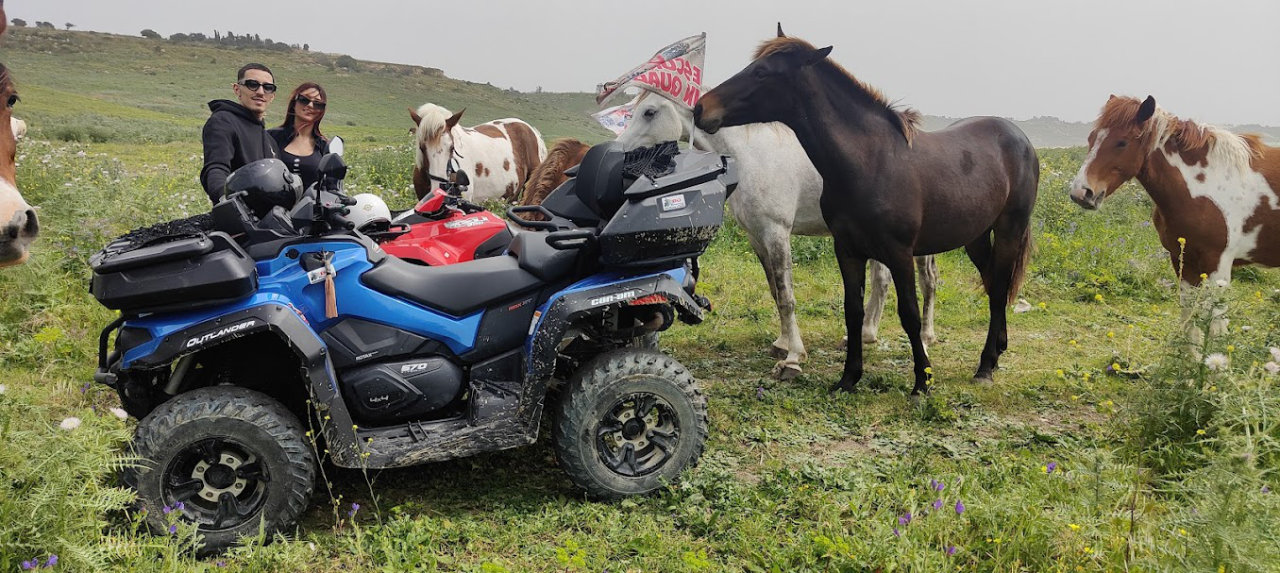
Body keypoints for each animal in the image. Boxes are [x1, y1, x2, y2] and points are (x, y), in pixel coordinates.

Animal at [616, 92, 939, 380]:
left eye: (649, 112)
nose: (618, 152)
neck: (751, 157)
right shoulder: (757, 237)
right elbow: (774, 290)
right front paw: (783, 344)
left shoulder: (777, 232)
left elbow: (787, 296)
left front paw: (793, 359)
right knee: (884, 281)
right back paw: (868, 334)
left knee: (924, 281)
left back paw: (923, 336)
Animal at [694, 28, 1038, 395]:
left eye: (761, 72)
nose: (702, 108)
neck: (870, 160)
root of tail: (1019, 137)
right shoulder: (847, 250)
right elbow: (852, 311)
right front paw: (848, 378)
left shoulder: (899, 252)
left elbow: (908, 313)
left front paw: (922, 382)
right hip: (975, 236)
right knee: (992, 283)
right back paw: (997, 351)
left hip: (1009, 229)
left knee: (998, 286)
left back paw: (985, 365)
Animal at [1069, 95, 1280, 339]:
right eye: (1091, 138)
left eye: (1122, 142)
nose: (1081, 192)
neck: (1204, 186)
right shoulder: (1183, 261)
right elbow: (1190, 321)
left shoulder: (1218, 267)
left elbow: (1216, 328)